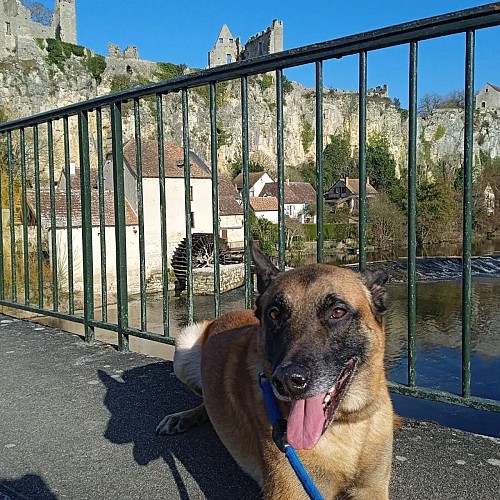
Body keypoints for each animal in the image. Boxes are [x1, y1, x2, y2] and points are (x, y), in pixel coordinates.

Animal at [157, 241, 394, 496]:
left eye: (337, 312)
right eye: (274, 314)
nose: (287, 381)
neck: (346, 424)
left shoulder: (372, 489)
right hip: (184, 345)